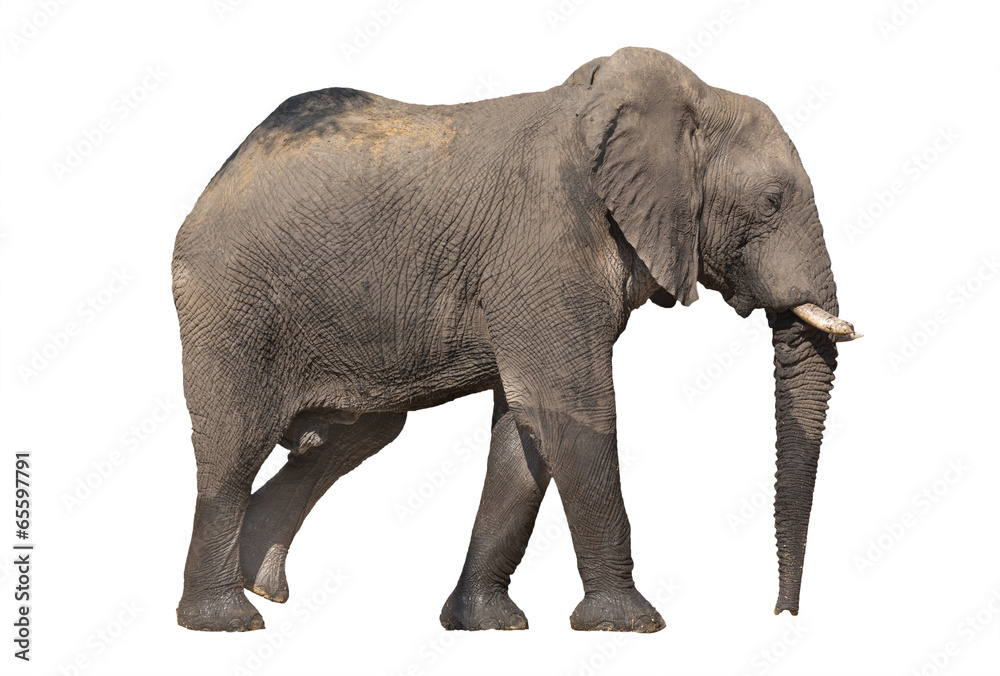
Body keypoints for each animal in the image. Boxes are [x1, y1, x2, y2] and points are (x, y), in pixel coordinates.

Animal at [172, 46, 860, 633]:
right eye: (771, 201)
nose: (782, 615)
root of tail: (219, 175)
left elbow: (523, 431)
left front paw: (487, 626)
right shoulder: (543, 240)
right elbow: (571, 410)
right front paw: (631, 624)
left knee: (349, 438)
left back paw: (260, 584)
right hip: (231, 302)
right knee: (235, 442)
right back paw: (226, 620)